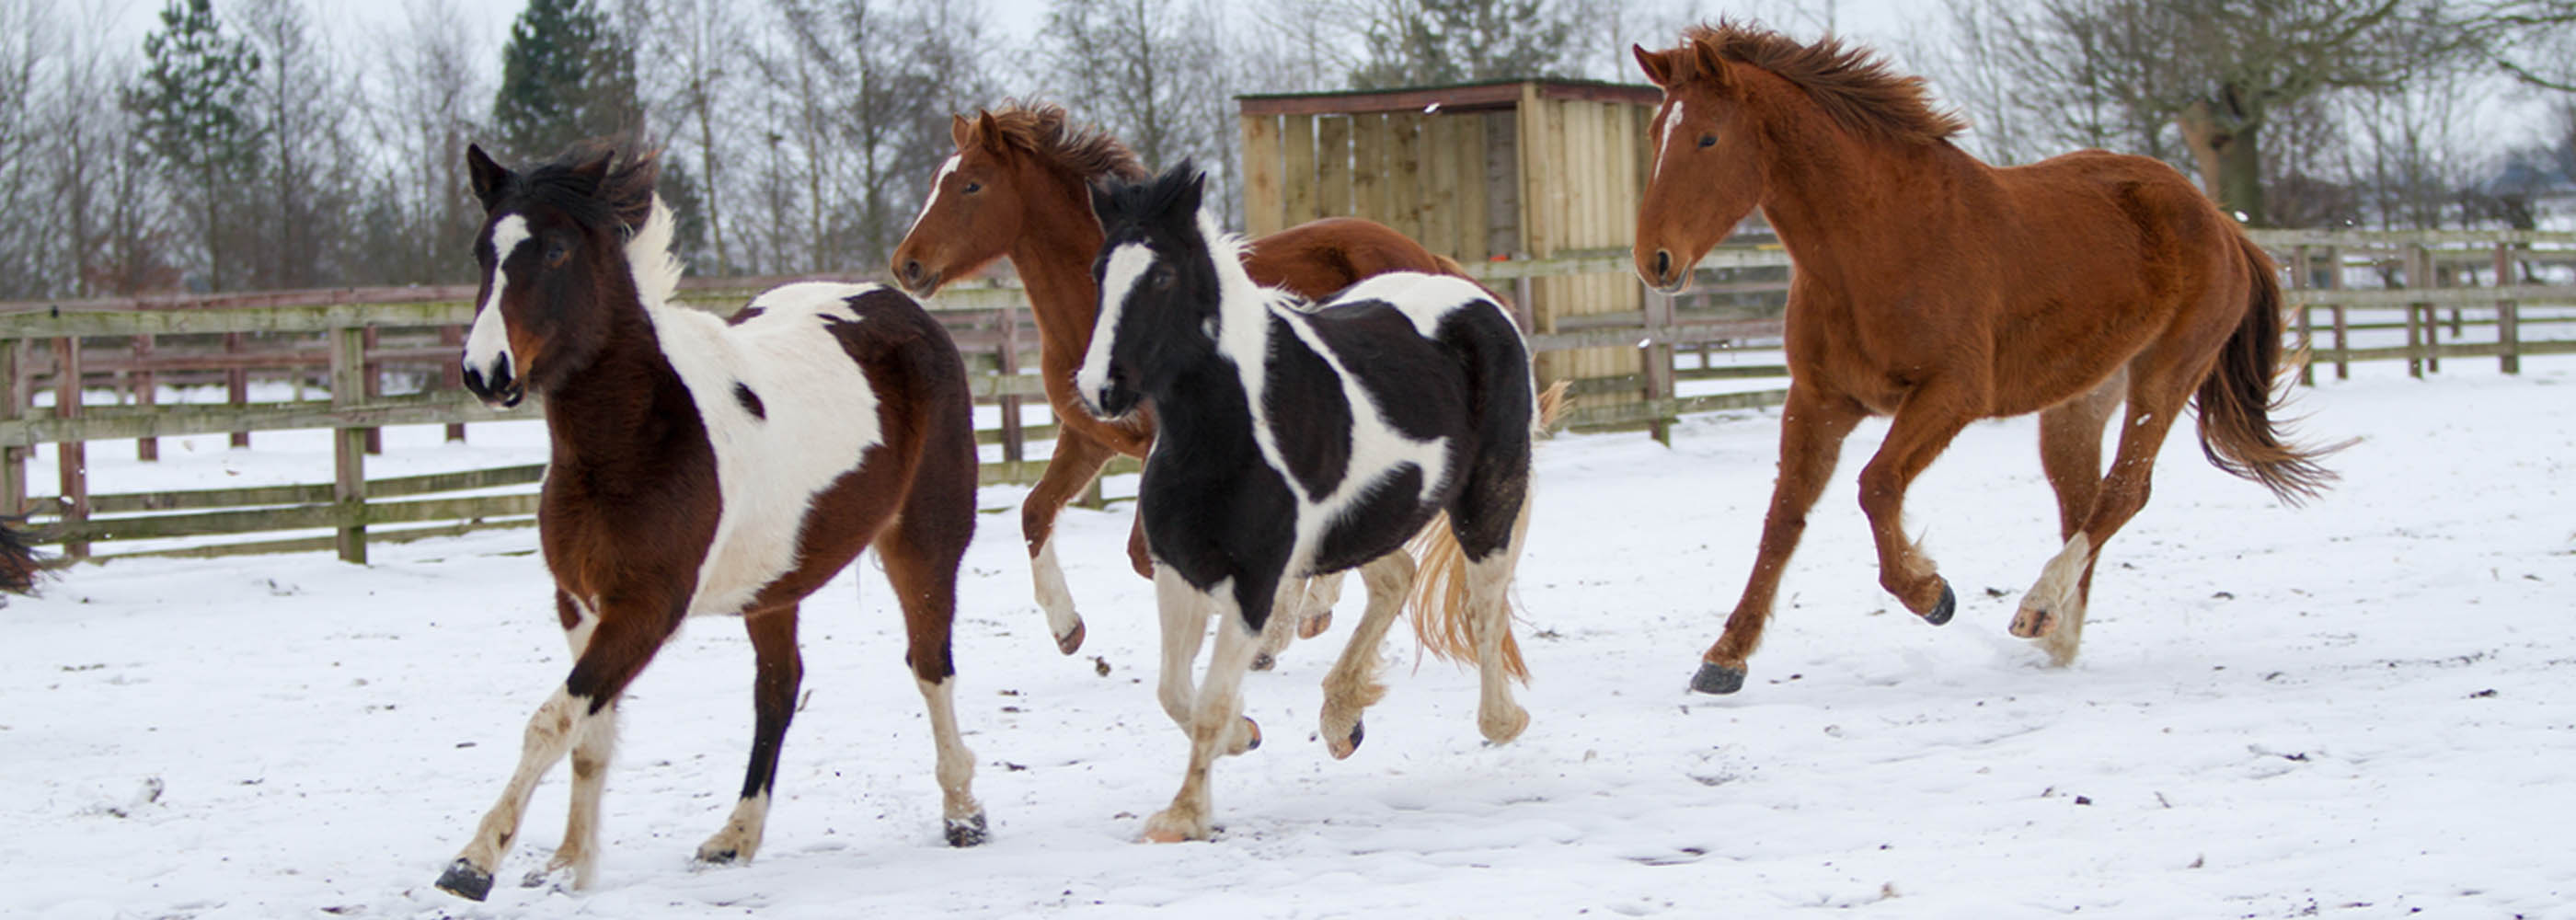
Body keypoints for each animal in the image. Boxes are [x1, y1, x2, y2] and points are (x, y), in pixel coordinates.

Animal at [438, 143, 979, 896]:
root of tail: (904, 308)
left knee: (932, 666)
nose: (486, 372)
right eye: (482, 251)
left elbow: (552, 722)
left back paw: (964, 815)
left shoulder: (646, 608)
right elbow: (588, 735)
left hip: (926, 543)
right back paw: (735, 837)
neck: (630, 440)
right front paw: (571, 864)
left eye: (554, 249)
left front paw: (474, 862)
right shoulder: (579, 602)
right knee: (778, 689)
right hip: (776, 583)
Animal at [886, 103, 1483, 664]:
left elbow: (1151, 556)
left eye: (971, 184)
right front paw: (1067, 628)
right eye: (939, 179)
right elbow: (1036, 512)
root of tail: (1425, 257)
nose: (905, 265)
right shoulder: (1089, 439)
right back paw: (1309, 616)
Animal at [1076, 163, 1535, 840]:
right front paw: (1243, 737)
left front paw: (1183, 815)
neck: (1222, 434)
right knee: (1397, 579)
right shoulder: (1178, 569)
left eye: (1161, 276)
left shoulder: (1255, 579)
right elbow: (1175, 692)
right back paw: (1343, 720)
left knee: (1484, 607)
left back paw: (1502, 721)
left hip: (1485, 505)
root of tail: (1476, 299)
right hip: (1362, 521)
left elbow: (1209, 701)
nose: (1100, 390)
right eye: (1097, 272)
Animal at [1638, 23, 2349, 696]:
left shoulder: (1952, 393)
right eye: (1653, 134)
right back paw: (2057, 639)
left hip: (2166, 375)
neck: (1876, 244)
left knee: (2124, 492)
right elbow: (1784, 518)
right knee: (2084, 501)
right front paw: (1724, 659)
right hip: (2080, 401)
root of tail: (2222, 222)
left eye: (1707, 139)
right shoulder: (1819, 401)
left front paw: (1932, 594)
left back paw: (2037, 609)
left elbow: (1877, 484)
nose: (1655, 261)